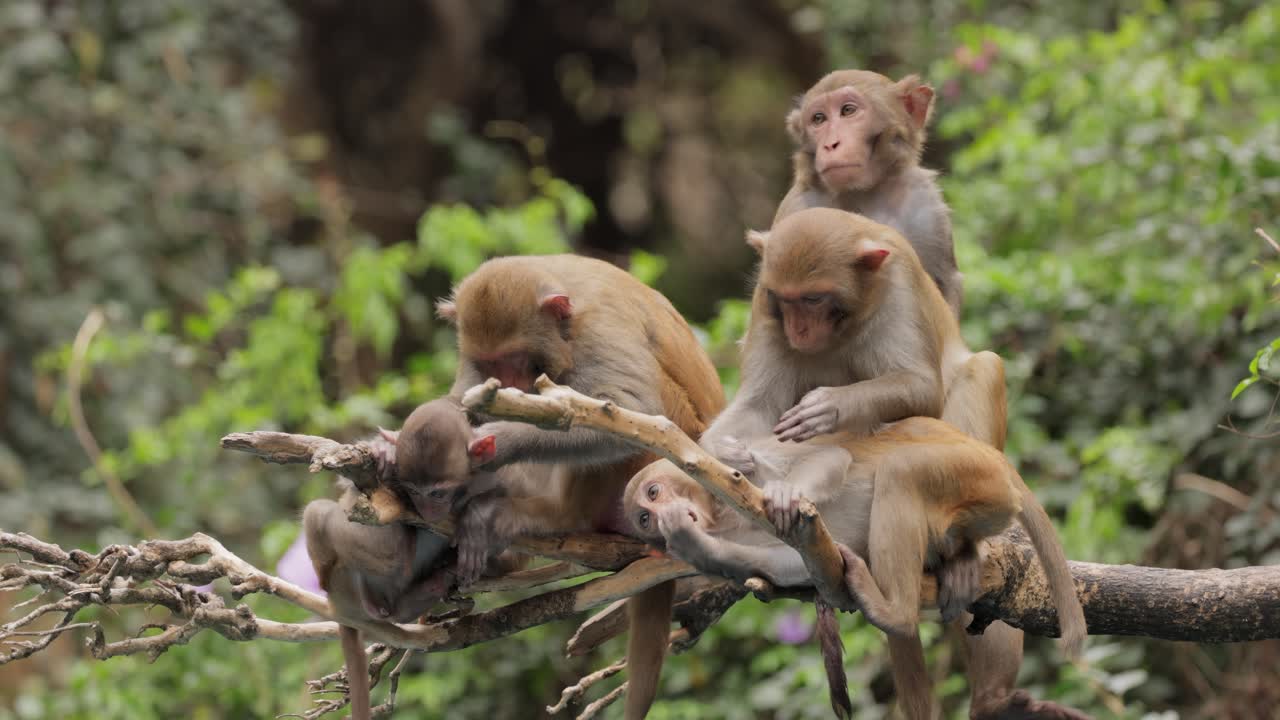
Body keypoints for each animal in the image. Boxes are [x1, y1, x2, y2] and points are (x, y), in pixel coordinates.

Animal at [434, 254, 726, 720]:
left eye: (517, 357)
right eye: (489, 362)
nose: (510, 384)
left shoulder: (599, 328)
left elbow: (629, 410)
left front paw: (504, 441)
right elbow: (464, 400)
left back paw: (553, 520)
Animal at [624, 418, 1087, 720]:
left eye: (654, 492)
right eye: (643, 518)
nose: (657, 519)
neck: (722, 513)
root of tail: (996, 460)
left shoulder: (737, 467)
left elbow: (830, 457)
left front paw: (787, 495)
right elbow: (790, 561)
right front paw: (696, 547)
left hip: (972, 474)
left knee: (901, 470)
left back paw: (895, 613)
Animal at [775, 69, 962, 317]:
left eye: (848, 111)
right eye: (818, 119)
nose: (830, 145)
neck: (867, 192)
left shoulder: (926, 206)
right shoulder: (797, 208)